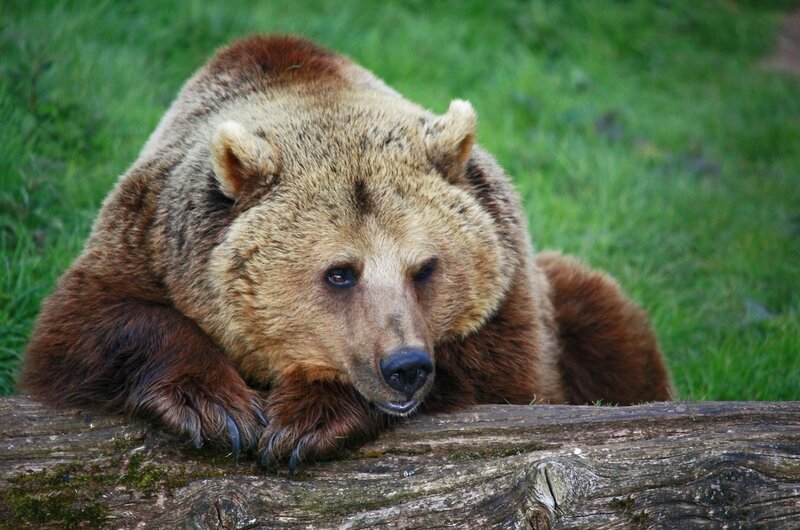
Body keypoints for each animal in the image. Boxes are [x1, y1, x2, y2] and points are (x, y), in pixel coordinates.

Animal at [22, 35, 672, 471]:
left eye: (425, 267)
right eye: (340, 273)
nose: (405, 367)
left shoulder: (508, 287)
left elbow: (500, 372)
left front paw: (309, 416)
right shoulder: (150, 238)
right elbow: (85, 328)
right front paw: (215, 408)